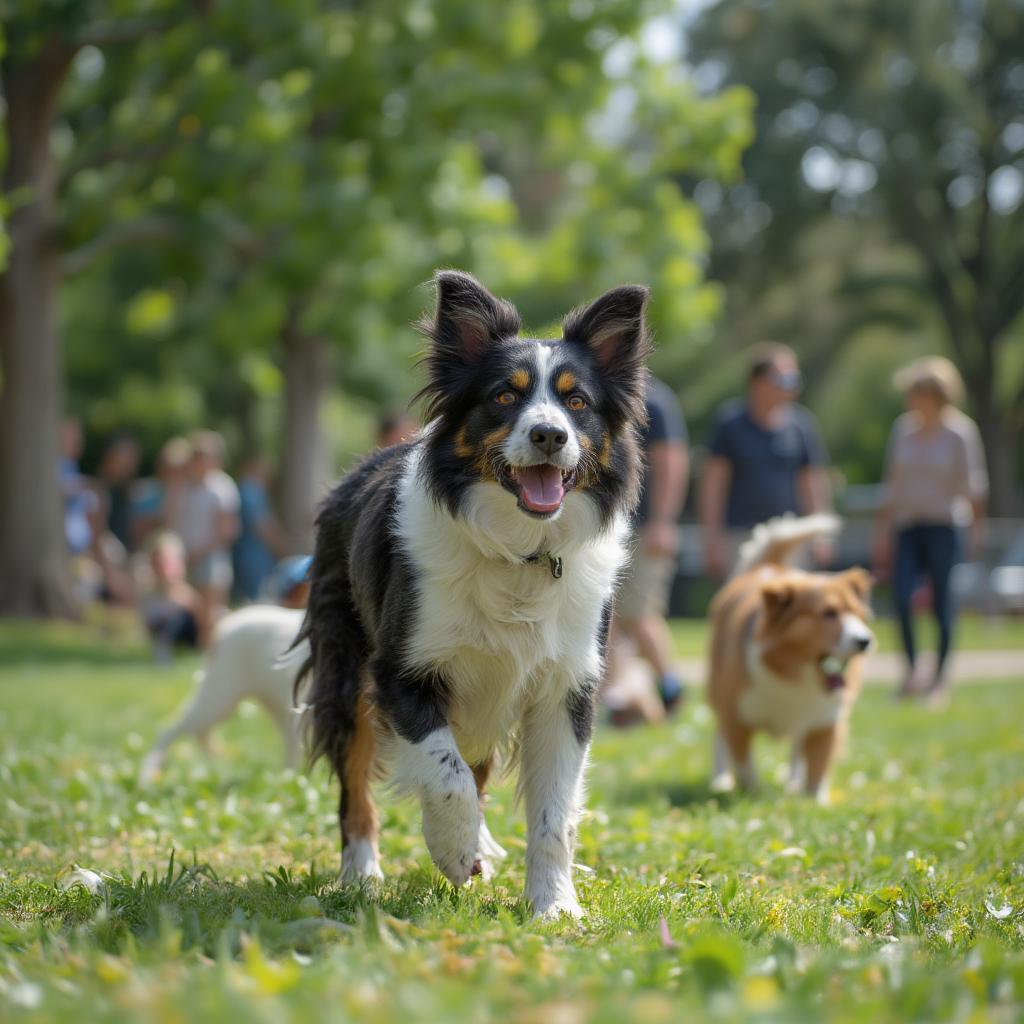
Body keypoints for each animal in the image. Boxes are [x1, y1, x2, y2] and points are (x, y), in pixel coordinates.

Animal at [140, 602, 307, 778]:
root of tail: (225, 625)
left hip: (270, 705)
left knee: (291, 743)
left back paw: (287, 775)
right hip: (218, 699)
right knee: (169, 730)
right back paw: (148, 775)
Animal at [296, 270, 647, 921]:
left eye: (577, 402)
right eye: (505, 397)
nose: (549, 434)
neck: (521, 552)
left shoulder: (567, 689)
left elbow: (554, 815)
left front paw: (553, 906)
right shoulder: (402, 672)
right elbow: (445, 773)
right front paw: (453, 851)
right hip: (347, 670)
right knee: (358, 785)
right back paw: (362, 873)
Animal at [708, 516, 876, 802]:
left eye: (857, 614)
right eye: (828, 613)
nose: (865, 641)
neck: (797, 680)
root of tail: (768, 568)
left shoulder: (825, 722)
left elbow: (817, 771)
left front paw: (814, 802)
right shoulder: (736, 717)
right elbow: (744, 765)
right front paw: (750, 794)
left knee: (798, 750)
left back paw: (793, 783)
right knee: (720, 741)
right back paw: (721, 780)